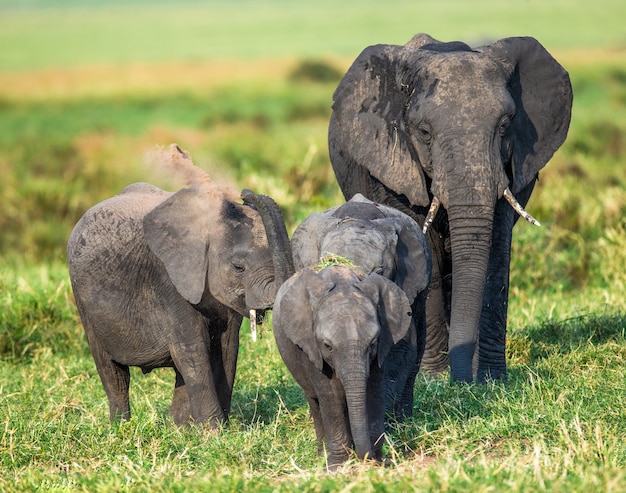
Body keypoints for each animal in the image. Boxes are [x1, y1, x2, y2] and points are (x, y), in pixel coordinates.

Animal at [274, 264, 414, 468]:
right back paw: (322, 453)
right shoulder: (310, 347)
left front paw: (377, 460)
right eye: (327, 346)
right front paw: (336, 466)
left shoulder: (381, 350)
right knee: (315, 402)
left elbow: (373, 391)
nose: (386, 460)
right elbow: (330, 396)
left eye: (373, 343)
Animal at [330, 34, 572, 382]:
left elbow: (496, 255)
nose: (463, 382)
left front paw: (491, 379)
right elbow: (423, 254)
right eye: (424, 132)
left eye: (505, 125)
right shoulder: (394, 166)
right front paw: (434, 378)